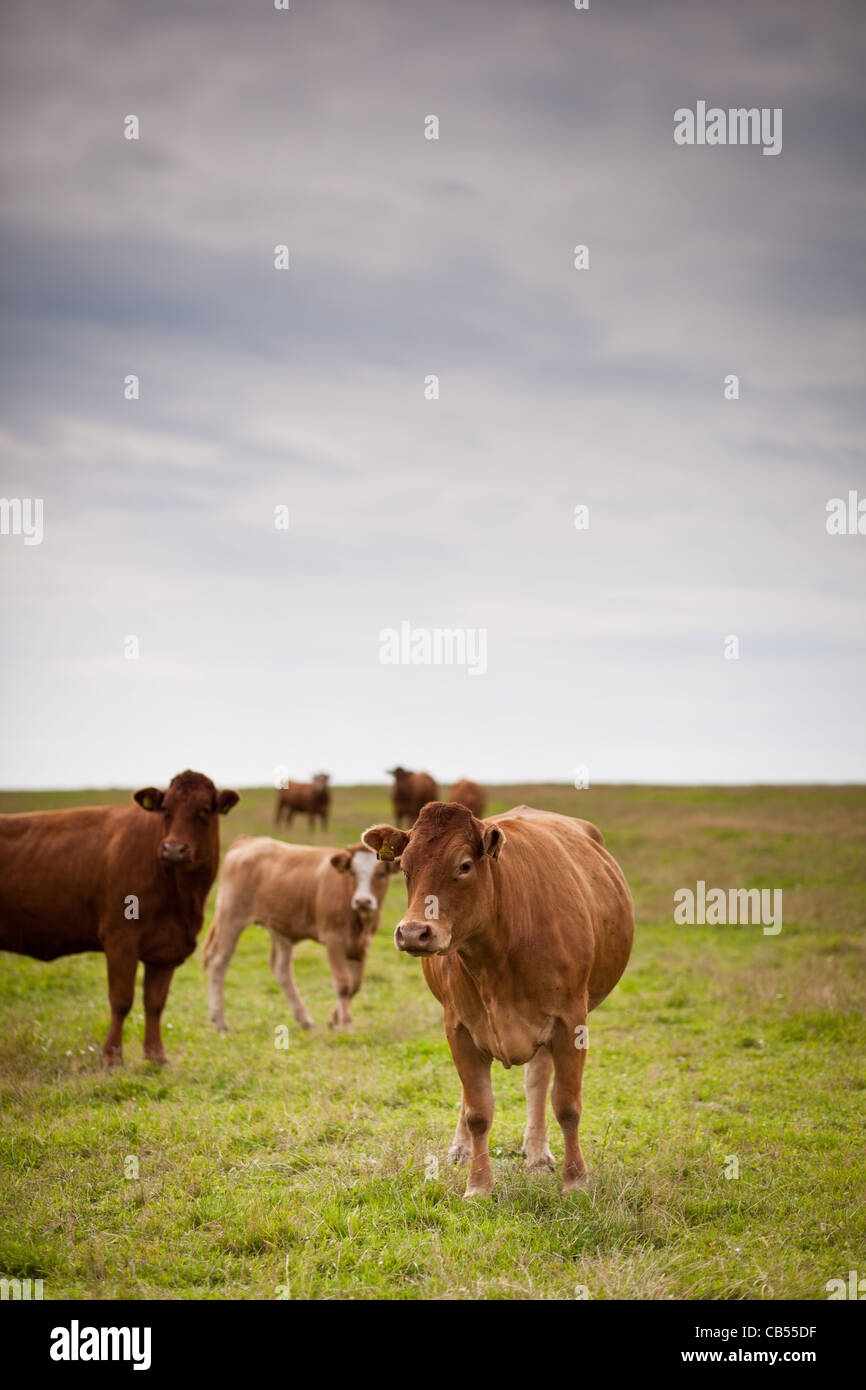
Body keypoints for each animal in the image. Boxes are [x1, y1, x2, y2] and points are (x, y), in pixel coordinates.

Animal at [0, 770, 240, 1066]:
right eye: (166, 810)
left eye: (204, 810)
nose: (173, 849)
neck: (179, 896)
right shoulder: (120, 939)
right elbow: (122, 999)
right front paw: (112, 1056)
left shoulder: (166, 949)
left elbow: (155, 1002)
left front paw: (155, 1055)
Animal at [203, 838, 397, 1032]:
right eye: (352, 872)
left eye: (381, 874)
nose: (363, 901)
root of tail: (248, 840)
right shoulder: (334, 940)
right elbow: (343, 984)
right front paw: (346, 1023)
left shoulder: (363, 944)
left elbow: (355, 986)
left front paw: (334, 1018)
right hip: (231, 918)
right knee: (218, 962)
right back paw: (219, 1020)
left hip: (279, 929)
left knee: (281, 969)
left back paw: (304, 1018)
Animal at [362, 801, 633, 1198]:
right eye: (405, 867)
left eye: (464, 865)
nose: (413, 932)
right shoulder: (459, 1027)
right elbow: (478, 1111)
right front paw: (478, 1186)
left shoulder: (571, 1022)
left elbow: (567, 1106)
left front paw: (576, 1181)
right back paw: (463, 1150)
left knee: (538, 1079)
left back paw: (537, 1153)